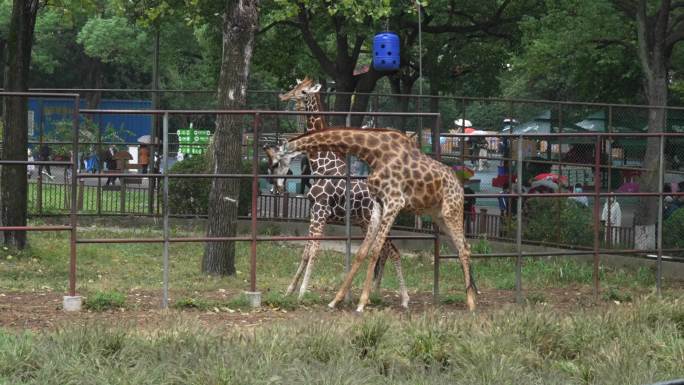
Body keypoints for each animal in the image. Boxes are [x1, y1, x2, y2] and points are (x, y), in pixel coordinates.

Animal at [264, 127, 478, 312]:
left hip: (452, 211)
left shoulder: (394, 201)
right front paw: (336, 300)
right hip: (438, 216)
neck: (374, 153)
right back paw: (471, 295)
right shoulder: (379, 203)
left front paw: (361, 303)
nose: (277, 185)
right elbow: (362, 252)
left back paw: (471, 303)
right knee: (465, 246)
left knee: (462, 249)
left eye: (274, 164)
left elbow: (375, 251)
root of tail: (459, 185)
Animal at [276, 78, 408, 306]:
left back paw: (402, 298)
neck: (321, 164)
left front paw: (302, 291)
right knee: (384, 252)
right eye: (295, 87)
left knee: (393, 252)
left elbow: (314, 250)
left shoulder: (321, 210)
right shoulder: (314, 210)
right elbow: (306, 251)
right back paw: (375, 292)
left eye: (303, 92)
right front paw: (290, 290)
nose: (284, 96)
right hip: (365, 223)